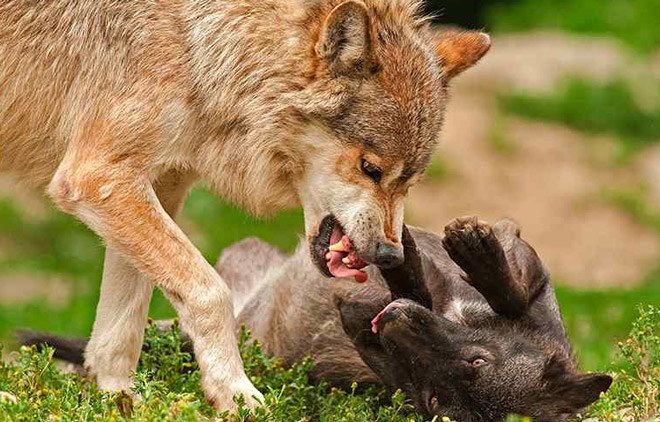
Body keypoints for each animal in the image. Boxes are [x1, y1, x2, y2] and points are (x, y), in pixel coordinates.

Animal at [0, 0, 490, 409]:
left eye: (410, 182)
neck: (201, 49)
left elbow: (123, 325)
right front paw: (234, 393)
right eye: (370, 168)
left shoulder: (155, 187)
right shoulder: (97, 177)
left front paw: (117, 400)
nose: (391, 254)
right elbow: (210, 292)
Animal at [23, 217, 612, 420]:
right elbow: (506, 284)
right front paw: (470, 250)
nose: (386, 322)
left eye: (436, 400)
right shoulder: (525, 273)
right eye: (477, 359)